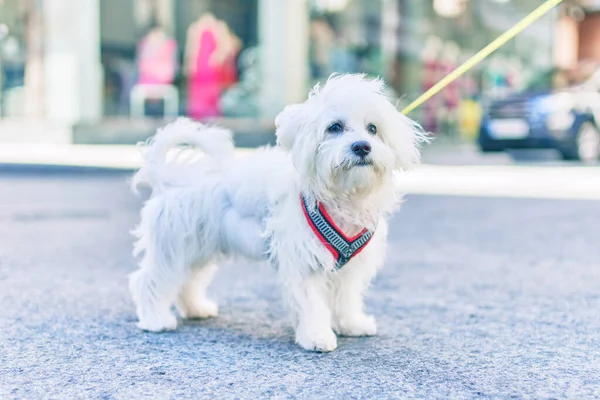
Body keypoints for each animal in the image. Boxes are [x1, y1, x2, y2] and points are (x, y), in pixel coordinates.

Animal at [129, 73, 426, 352]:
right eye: (335, 127)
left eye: (373, 128)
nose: (362, 146)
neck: (342, 197)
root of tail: (171, 177)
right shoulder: (303, 262)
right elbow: (312, 305)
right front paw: (317, 337)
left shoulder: (350, 270)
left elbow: (346, 300)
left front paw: (352, 324)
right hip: (174, 248)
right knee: (150, 281)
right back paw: (156, 320)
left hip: (199, 249)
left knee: (188, 282)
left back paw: (195, 309)